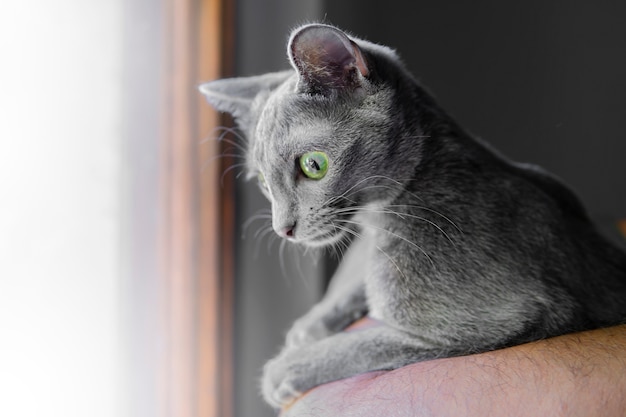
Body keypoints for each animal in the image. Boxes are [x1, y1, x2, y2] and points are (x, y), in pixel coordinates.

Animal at [199, 22, 624, 406]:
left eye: (313, 165)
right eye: (263, 183)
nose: (283, 229)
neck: (380, 220)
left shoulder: (510, 318)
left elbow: (368, 343)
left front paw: (287, 367)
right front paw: (312, 323)